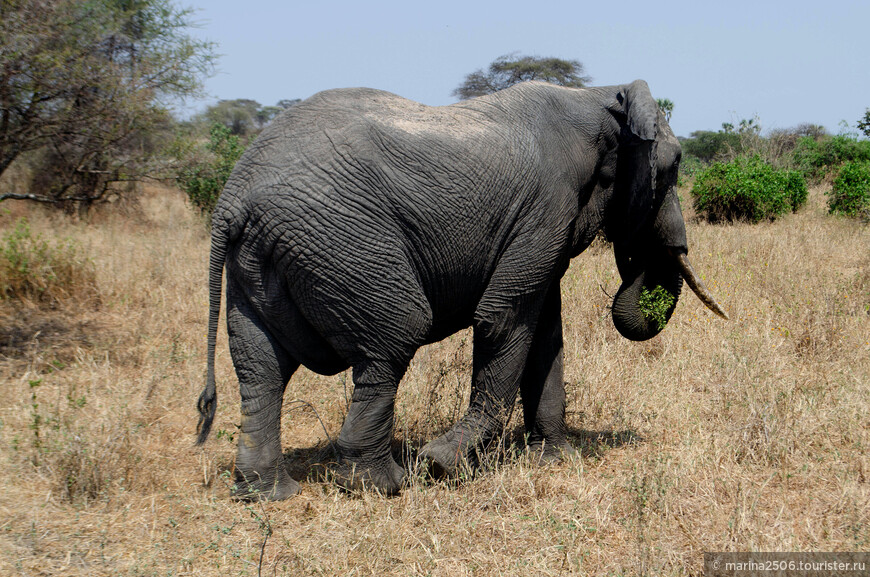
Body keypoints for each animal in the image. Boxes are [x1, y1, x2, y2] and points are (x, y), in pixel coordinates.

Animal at [196, 79, 728, 498]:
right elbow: (504, 320)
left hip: (261, 261)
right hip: (340, 240)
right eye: (674, 165)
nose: (640, 257)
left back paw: (267, 493)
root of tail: (234, 197)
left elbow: (544, 333)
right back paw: (383, 485)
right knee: (397, 333)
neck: (598, 97)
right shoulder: (546, 204)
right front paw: (441, 463)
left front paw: (553, 459)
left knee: (261, 368)